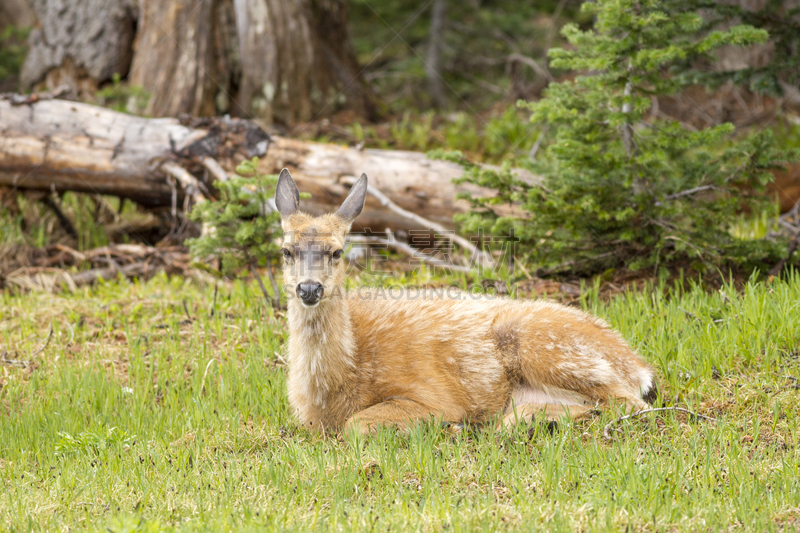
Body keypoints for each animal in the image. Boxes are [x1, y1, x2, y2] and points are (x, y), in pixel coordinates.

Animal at [276, 168, 656, 434]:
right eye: (286, 251)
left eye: (337, 251)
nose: (309, 289)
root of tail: (638, 365)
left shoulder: (431, 394)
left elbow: (356, 425)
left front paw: (447, 424)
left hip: (550, 349)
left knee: (633, 404)